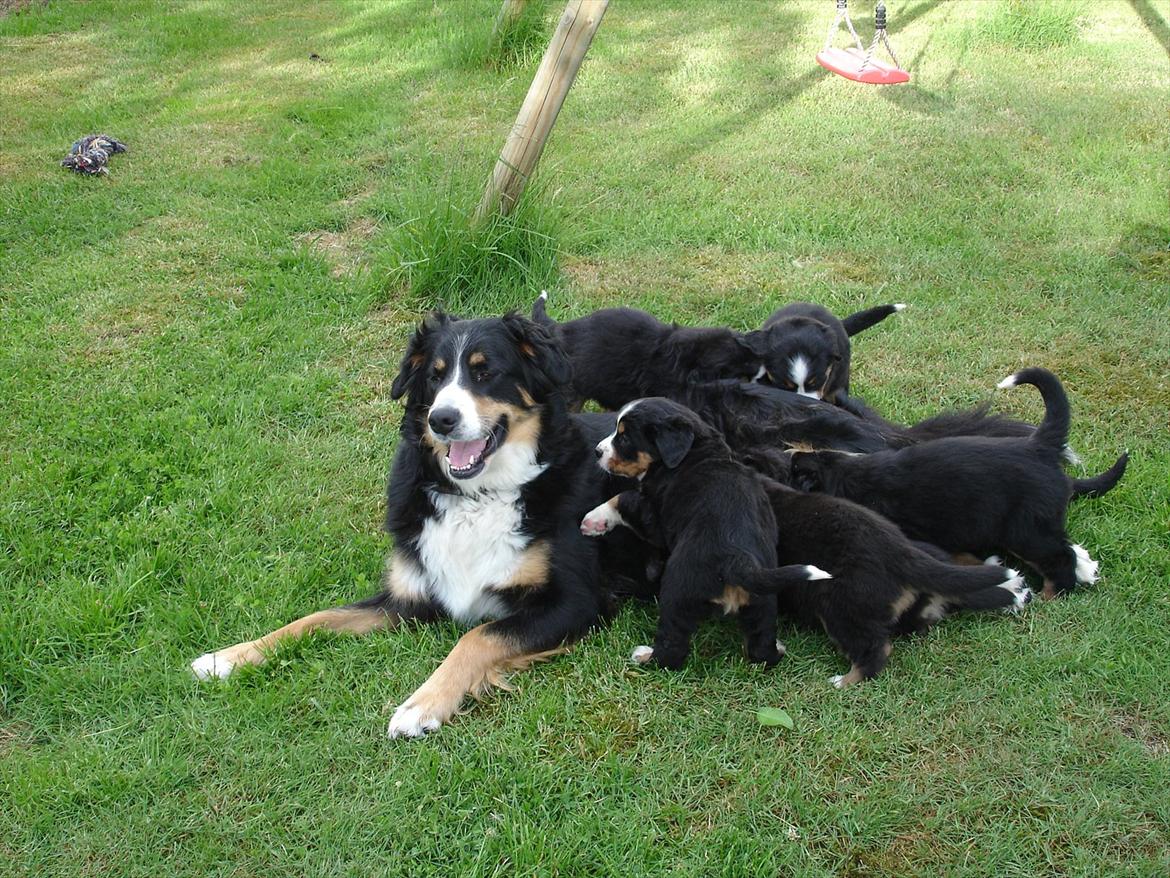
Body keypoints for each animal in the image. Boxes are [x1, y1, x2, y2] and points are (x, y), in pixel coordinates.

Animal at [191, 313, 636, 739]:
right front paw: (229, 657)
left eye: (485, 372)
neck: (476, 496)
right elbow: (316, 618)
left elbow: (477, 636)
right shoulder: (409, 595)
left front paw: (422, 706)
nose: (442, 419)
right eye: (435, 376)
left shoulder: (575, 602)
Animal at [575, 400, 833, 674]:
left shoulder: (655, 520)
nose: (597, 451)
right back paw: (778, 649)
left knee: (672, 649)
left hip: (678, 591)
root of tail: (737, 561)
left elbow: (624, 499)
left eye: (624, 438)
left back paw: (645, 656)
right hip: (762, 600)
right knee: (761, 650)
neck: (696, 452)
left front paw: (594, 520)